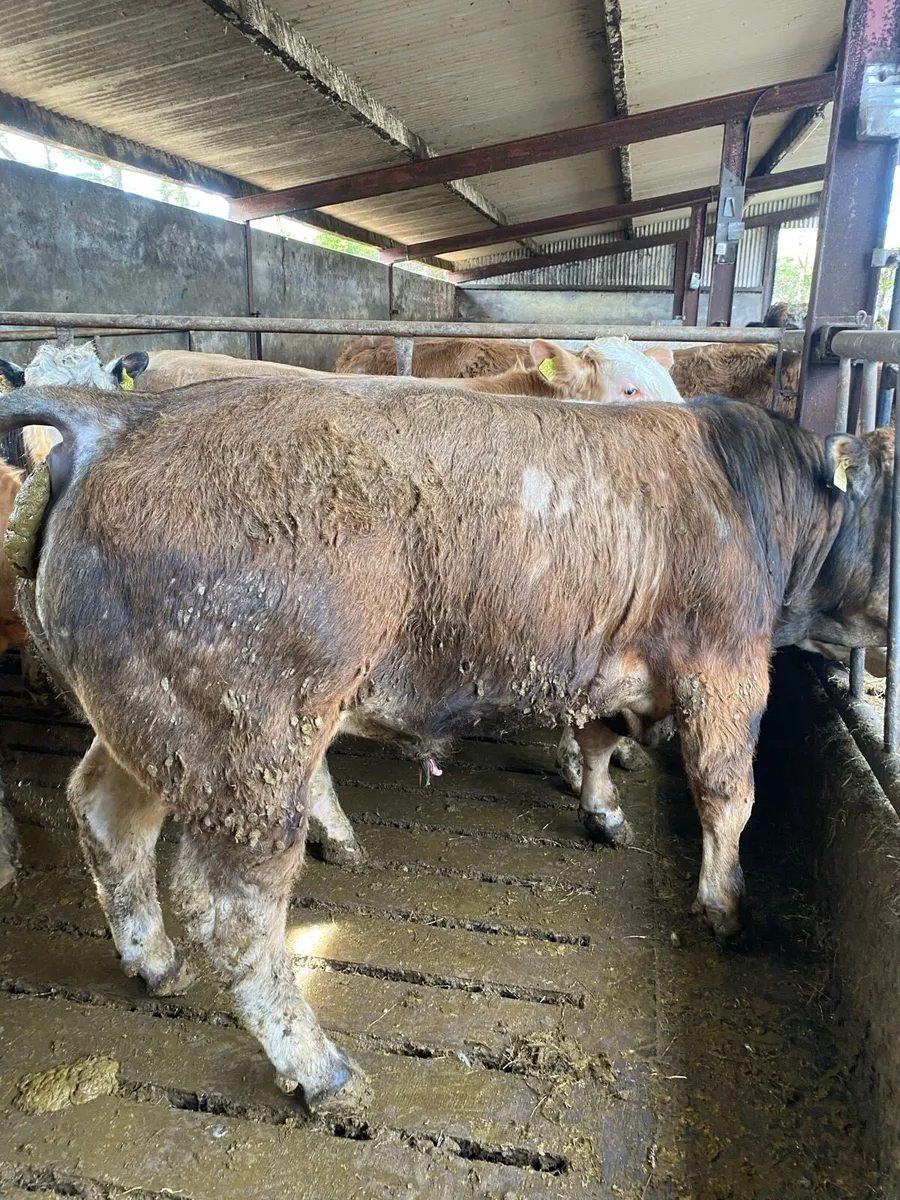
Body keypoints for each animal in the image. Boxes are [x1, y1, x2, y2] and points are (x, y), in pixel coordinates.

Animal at [0, 372, 892, 1108]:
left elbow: (597, 741)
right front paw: (727, 906)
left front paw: (603, 813)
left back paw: (152, 960)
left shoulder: (608, 656)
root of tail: (116, 417)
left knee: (106, 817)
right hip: (246, 744)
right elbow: (727, 794)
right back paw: (320, 1069)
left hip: (154, 729)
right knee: (233, 909)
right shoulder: (726, 667)